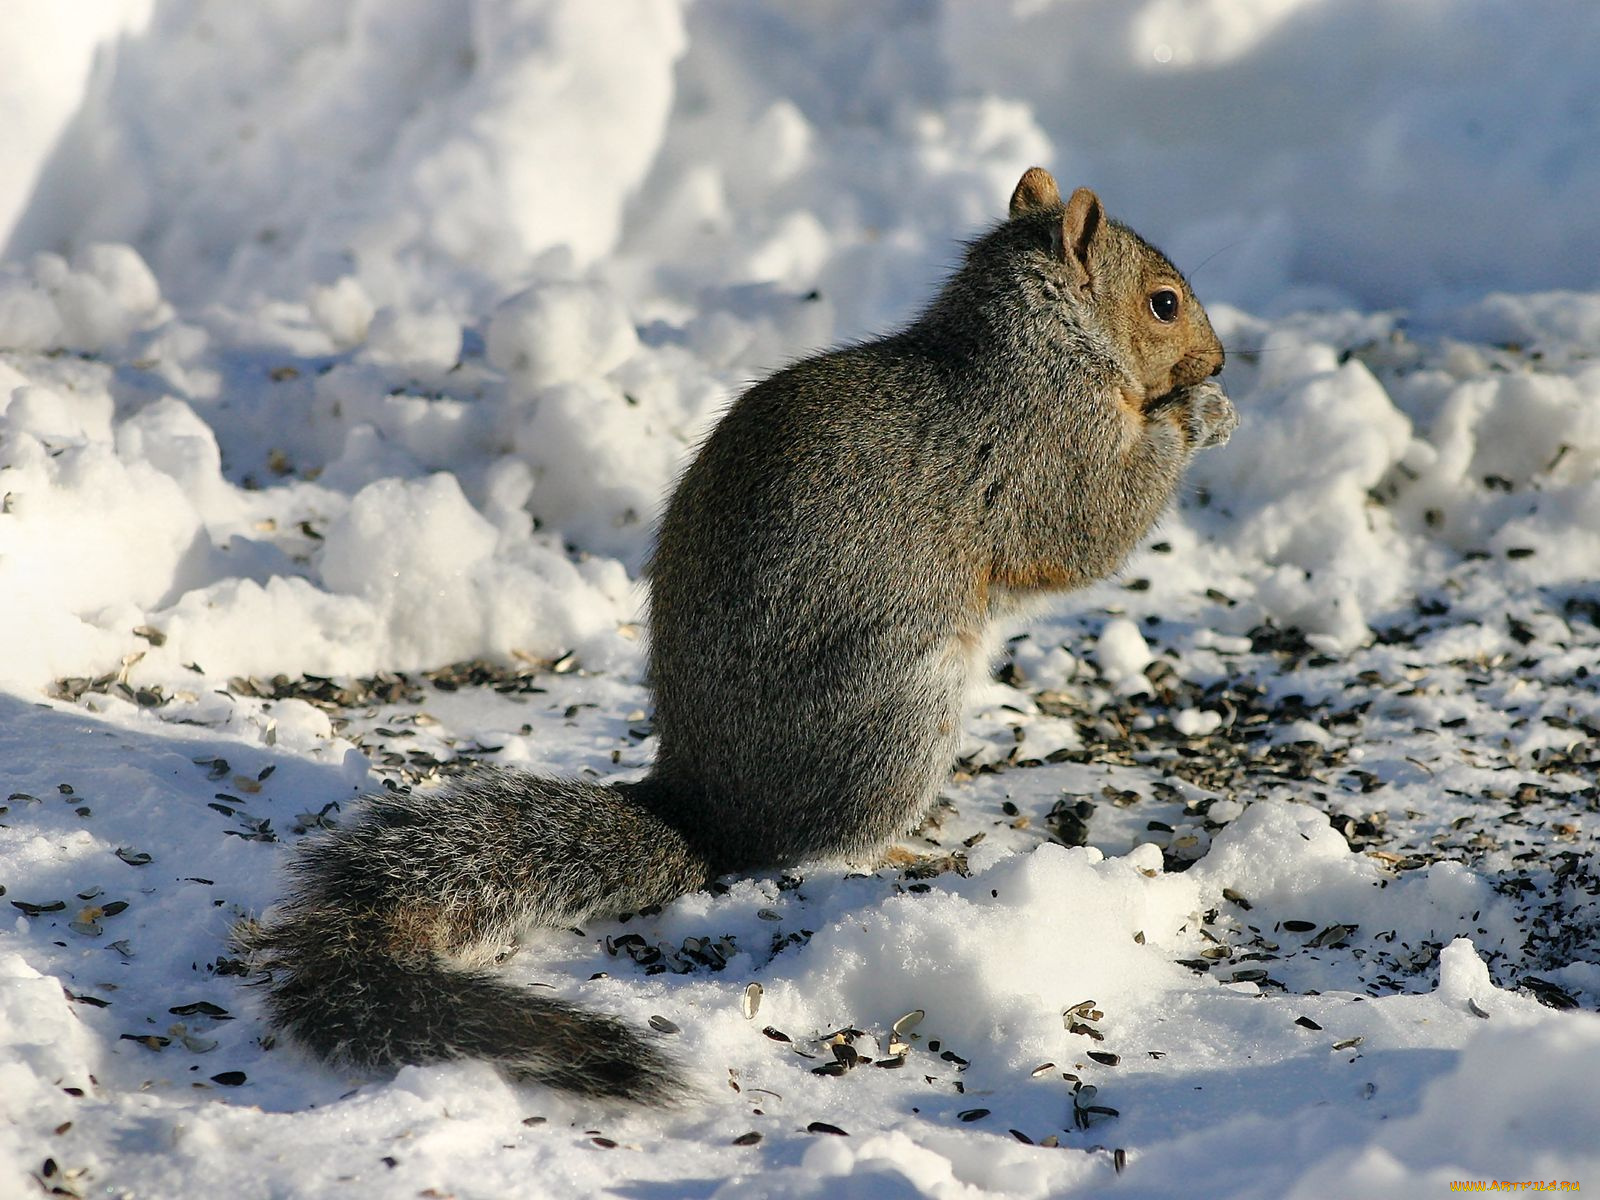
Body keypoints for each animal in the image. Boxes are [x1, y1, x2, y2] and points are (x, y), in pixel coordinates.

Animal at [240, 169, 1235, 1107]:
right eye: (1163, 302)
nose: (1221, 357)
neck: (1043, 345)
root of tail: (705, 807)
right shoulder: (1049, 452)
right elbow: (1097, 525)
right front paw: (1201, 415)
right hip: (902, 707)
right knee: (824, 843)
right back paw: (913, 851)